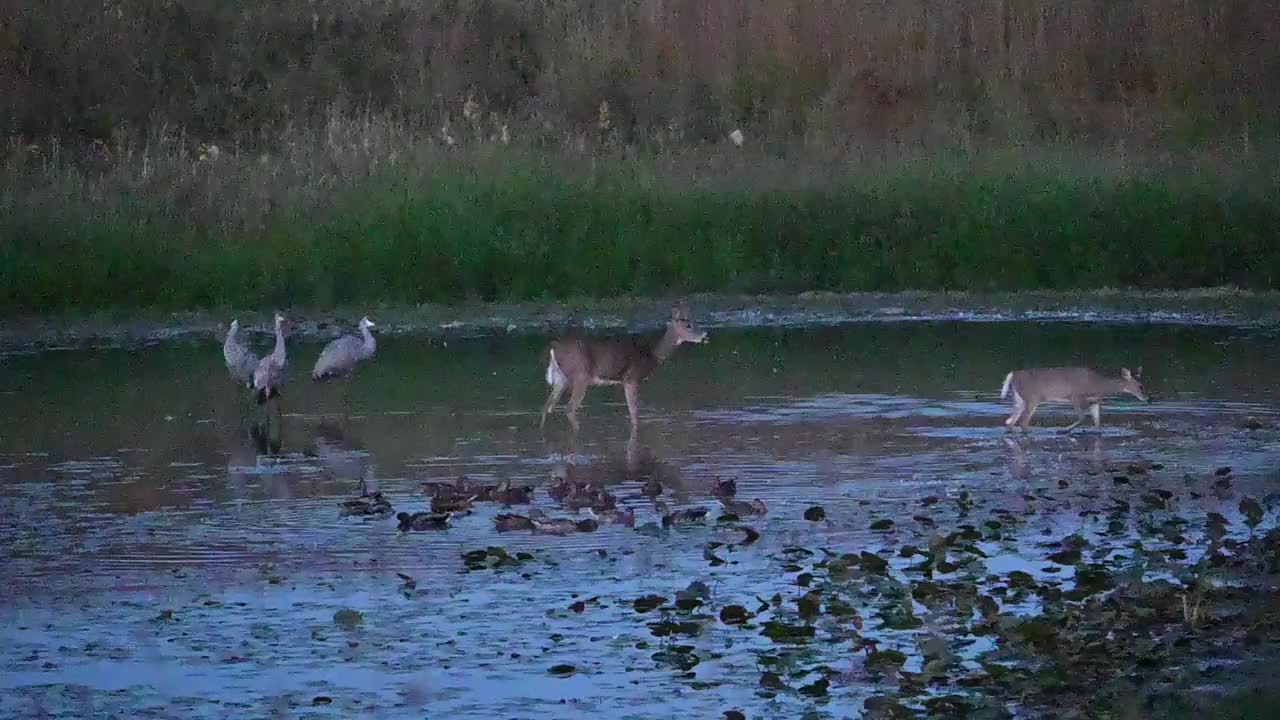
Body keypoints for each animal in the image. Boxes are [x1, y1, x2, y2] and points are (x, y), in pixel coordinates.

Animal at [540, 299, 711, 427]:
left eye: (696, 322)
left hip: (561, 378)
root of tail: (554, 348)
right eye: (688, 325)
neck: (652, 354)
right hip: (580, 375)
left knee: (546, 406)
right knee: (568, 408)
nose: (704, 335)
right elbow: (634, 414)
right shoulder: (631, 378)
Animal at [998, 366, 1152, 427]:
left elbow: (1097, 422)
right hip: (1032, 397)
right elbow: (1082, 417)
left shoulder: (1094, 402)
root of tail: (1013, 374)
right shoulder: (1075, 396)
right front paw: (1064, 431)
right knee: (1023, 422)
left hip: (1019, 398)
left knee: (1010, 421)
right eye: (1140, 386)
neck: (1098, 385)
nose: (1147, 398)